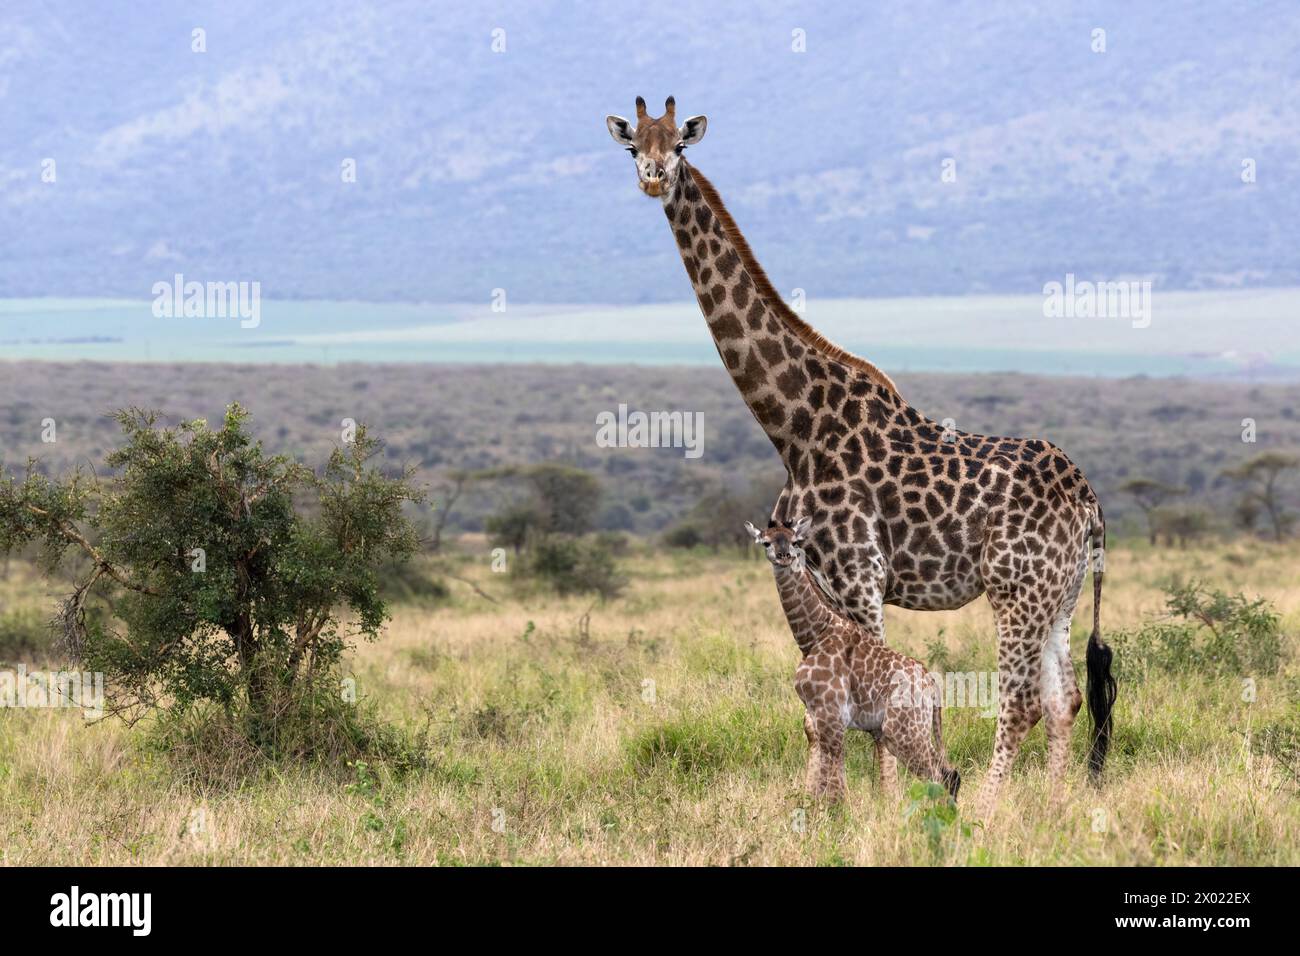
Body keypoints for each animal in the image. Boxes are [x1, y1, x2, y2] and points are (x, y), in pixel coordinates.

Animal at [748, 520, 961, 806]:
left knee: (940, 776)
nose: (784, 556)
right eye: (767, 542)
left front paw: (834, 812)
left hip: (902, 730)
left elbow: (834, 781)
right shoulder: (819, 715)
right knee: (949, 774)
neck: (814, 634)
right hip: (916, 728)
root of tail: (931, 684)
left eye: (794, 541)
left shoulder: (831, 714)